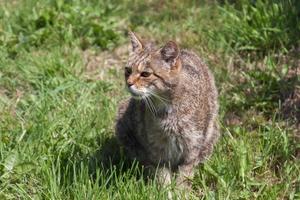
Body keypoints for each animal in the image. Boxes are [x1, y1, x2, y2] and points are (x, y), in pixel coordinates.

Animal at [114, 31, 218, 189]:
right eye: (128, 70)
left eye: (145, 74)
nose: (129, 83)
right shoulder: (157, 150)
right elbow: (162, 177)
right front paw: (165, 191)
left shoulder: (192, 147)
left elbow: (184, 176)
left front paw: (180, 191)